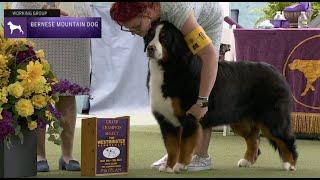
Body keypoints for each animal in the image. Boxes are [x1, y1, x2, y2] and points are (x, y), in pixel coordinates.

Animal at [142, 20, 298, 173]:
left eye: (164, 38)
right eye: (150, 35)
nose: (150, 48)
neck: (169, 67)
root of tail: (276, 72)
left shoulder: (190, 117)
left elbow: (185, 146)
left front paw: (180, 165)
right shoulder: (167, 121)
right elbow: (172, 148)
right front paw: (168, 166)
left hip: (272, 118)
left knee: (286, 139)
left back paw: (290, 164)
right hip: (241, 121)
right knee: (253, 139)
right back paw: (247, 161)